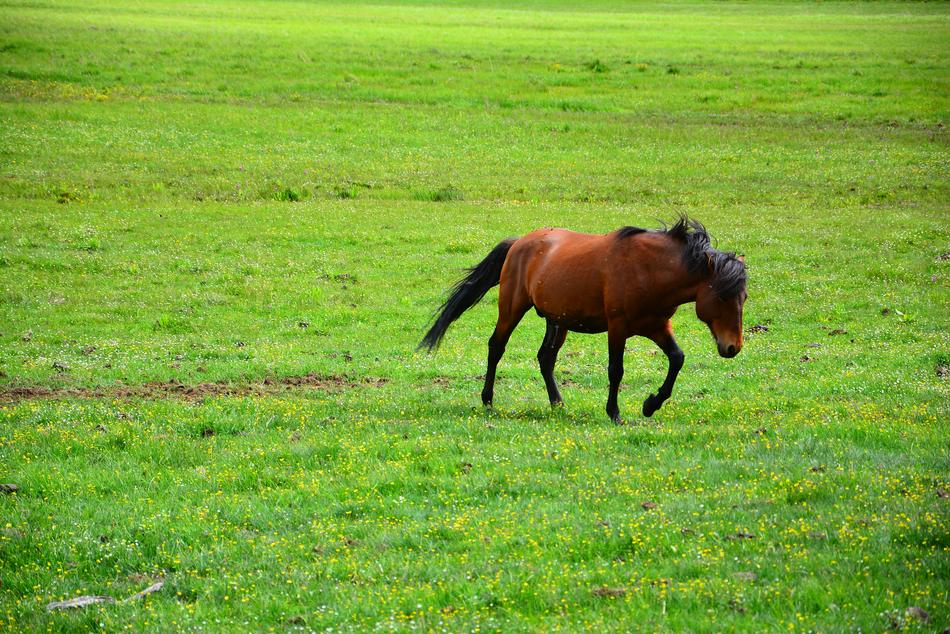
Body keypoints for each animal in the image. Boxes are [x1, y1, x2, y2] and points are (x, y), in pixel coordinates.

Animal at [419, 217, 747, 424]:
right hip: (512, 309)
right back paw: (487, 399)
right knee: (496, 347)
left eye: (743, 298)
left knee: (546, 358)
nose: (733, 347)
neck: (649, 270)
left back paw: (557, 402)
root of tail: (520, 242)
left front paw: (650, 404)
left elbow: (677, 359)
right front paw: (614, 413)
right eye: (722, 296)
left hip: (557, 321)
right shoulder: (618, 327)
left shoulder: (656, 325)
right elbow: (616, 370)